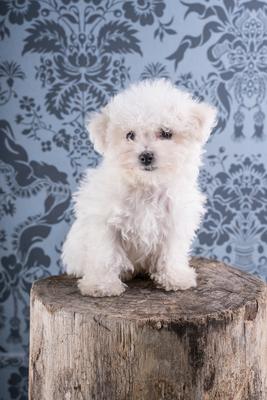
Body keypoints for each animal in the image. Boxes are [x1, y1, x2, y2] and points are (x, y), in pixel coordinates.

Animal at [61, 79, 217, 296]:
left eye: (166, 133)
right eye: (130, 135)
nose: (146, 156)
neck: (146, 185)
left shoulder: (174, 220)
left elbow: (172, 252)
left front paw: (174, 277)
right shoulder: (104, 223)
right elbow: (106, 254)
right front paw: (102, 285)